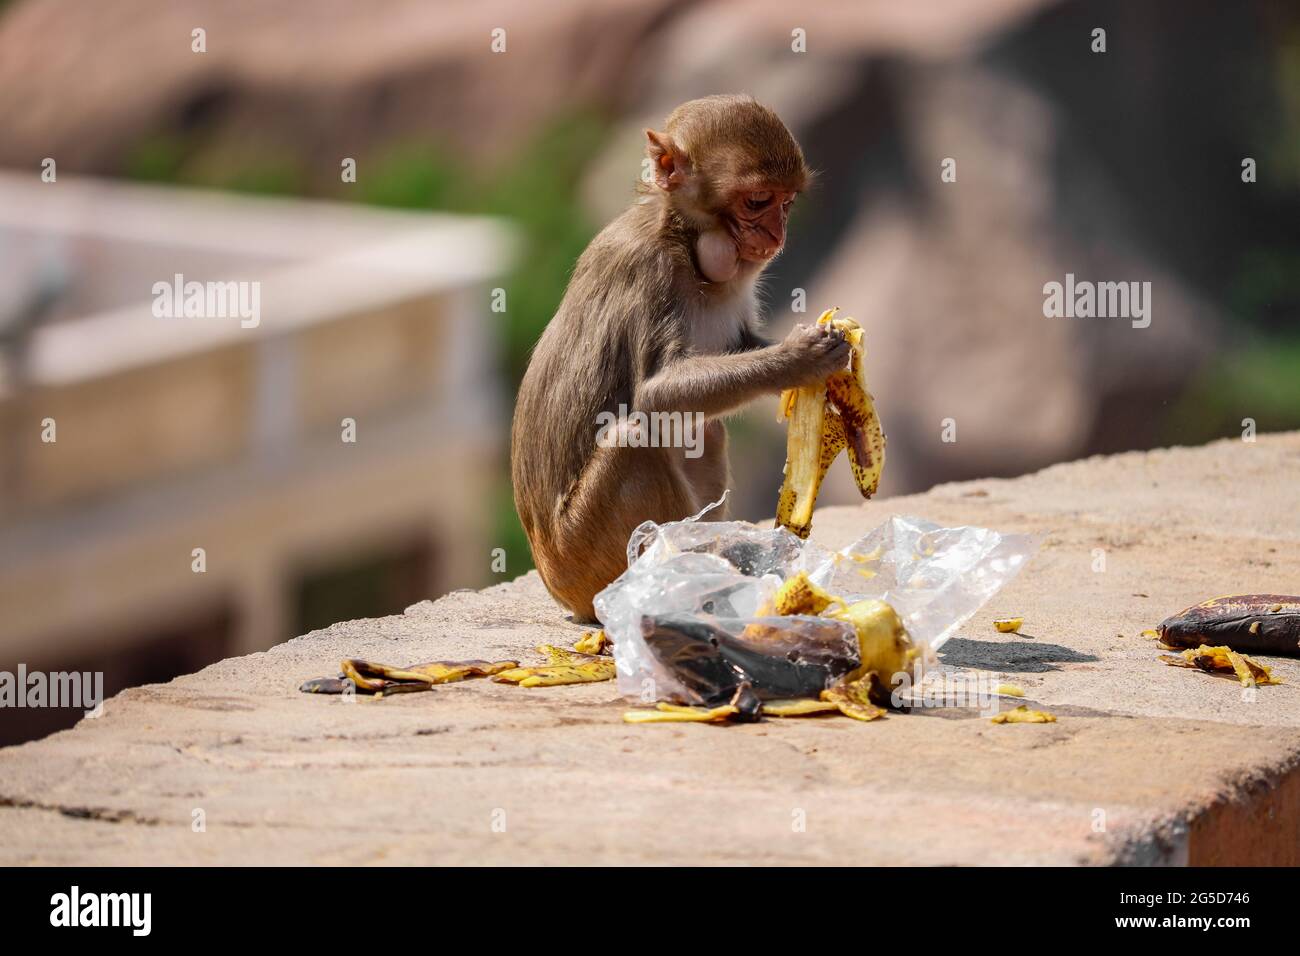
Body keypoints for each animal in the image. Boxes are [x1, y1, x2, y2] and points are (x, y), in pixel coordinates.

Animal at [506, 95, 852, 621]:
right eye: (758, 201)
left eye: (787, 201)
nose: (777, 235)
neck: (685, 239)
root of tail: (553, 581)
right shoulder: (647, 270)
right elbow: (654, 394)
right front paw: (802, 358)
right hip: (580, 557)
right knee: (635, 437)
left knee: (705, 429)